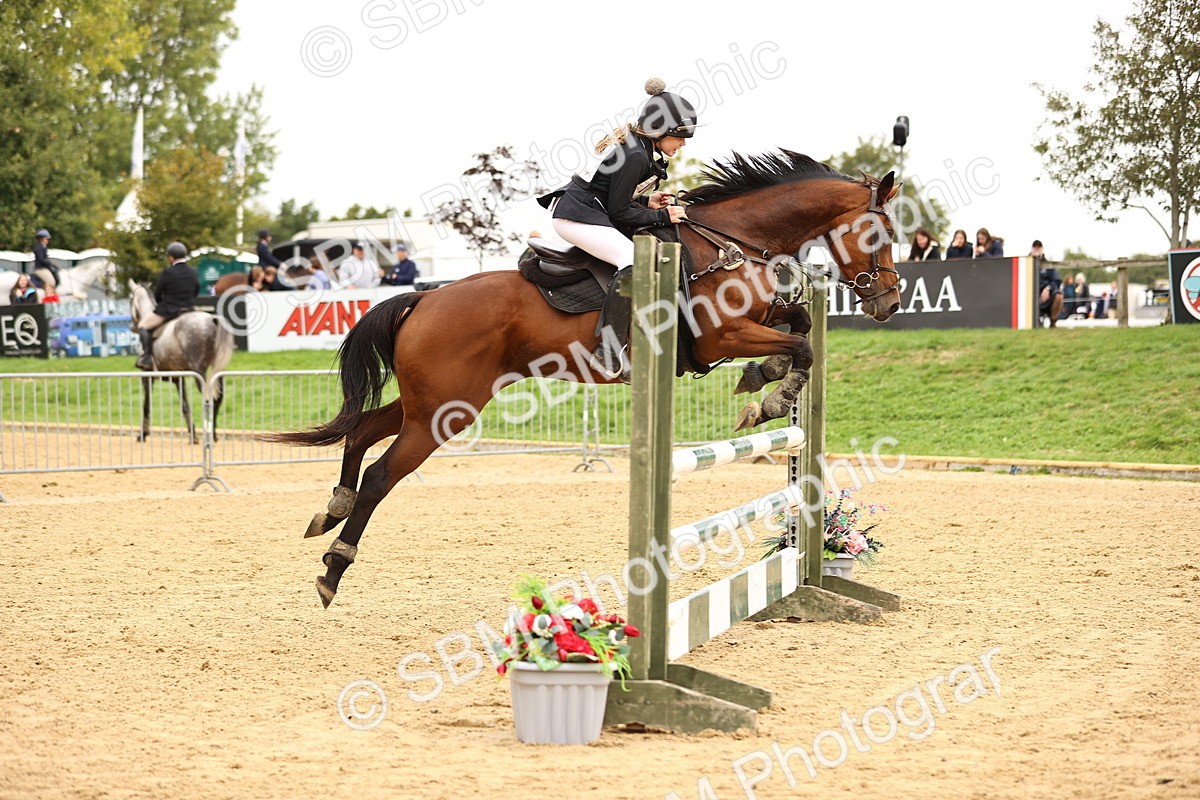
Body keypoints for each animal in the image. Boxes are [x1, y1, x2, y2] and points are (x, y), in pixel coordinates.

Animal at [129, 283, 235, 444]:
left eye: (130, 299)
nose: (132, 326)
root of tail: (212, 319)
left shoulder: (147, 375)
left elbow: (146, 405)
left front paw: (142, 435)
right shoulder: (178, 377)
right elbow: (185, 406)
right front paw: (192, 435)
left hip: (200, 372)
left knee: (209, 398)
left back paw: (209, 435)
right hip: (218, 371)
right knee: (218, 398)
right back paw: (214, 435)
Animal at [268, 150, 902, 607]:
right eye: (882, 235)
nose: (890, 304)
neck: (730, 245)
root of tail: (423, 299)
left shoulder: (753, 323)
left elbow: (798, 326)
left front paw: (762, 385)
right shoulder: (721, 337)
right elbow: (801, 346)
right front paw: (771, 395)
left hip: (438, 402)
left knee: (361, 431)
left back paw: (332, 508)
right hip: (445, 412)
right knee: (380, 476)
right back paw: (333, 568)